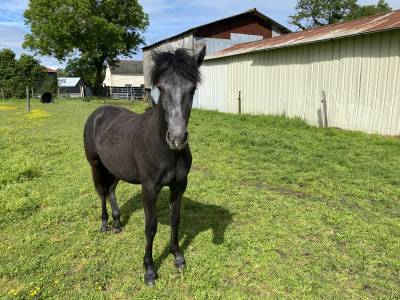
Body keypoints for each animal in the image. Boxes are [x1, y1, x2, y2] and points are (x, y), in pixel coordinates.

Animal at [84, 45, 206, 284]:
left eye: (192, 89)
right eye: (161, 88)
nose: (177, 139)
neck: (164, 149)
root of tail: (97, 114)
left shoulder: (179, 185)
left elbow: (175, 219)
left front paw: (178, 257)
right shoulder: (149, 188)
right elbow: (151, 227)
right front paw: (149, 269)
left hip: (115, 168)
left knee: (111, 190)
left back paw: (117, 224)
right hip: (96, 166)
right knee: (102, 193)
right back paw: (104, 225)